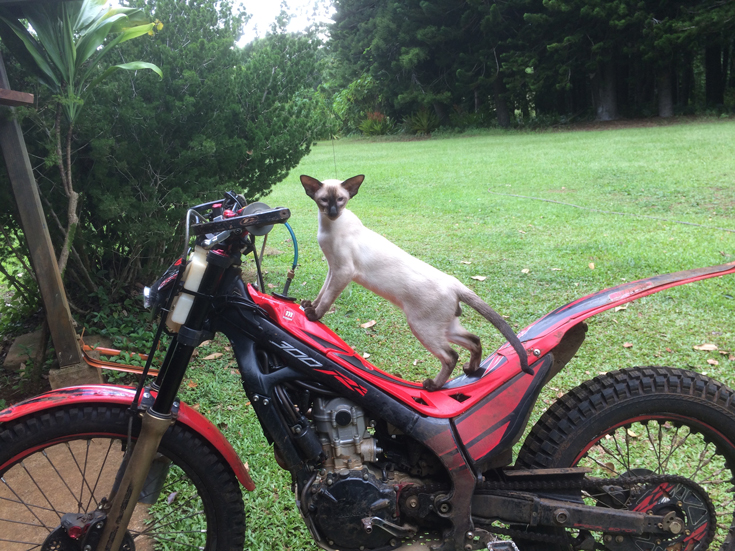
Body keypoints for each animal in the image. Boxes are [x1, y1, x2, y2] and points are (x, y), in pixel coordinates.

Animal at [302, 175, 532, 390]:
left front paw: (313, 316)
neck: (328, 227)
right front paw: (308, 306)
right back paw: (471, 369)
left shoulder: (343, 271)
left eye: (341, 200)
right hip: (445, 328)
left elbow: (327, 299)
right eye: (324, 200)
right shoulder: (333, 269)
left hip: (421, 327)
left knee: (451, 356)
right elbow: (322, 293)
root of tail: (455, 284)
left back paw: (433, 386)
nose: (333, 212)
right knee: (474, 340)